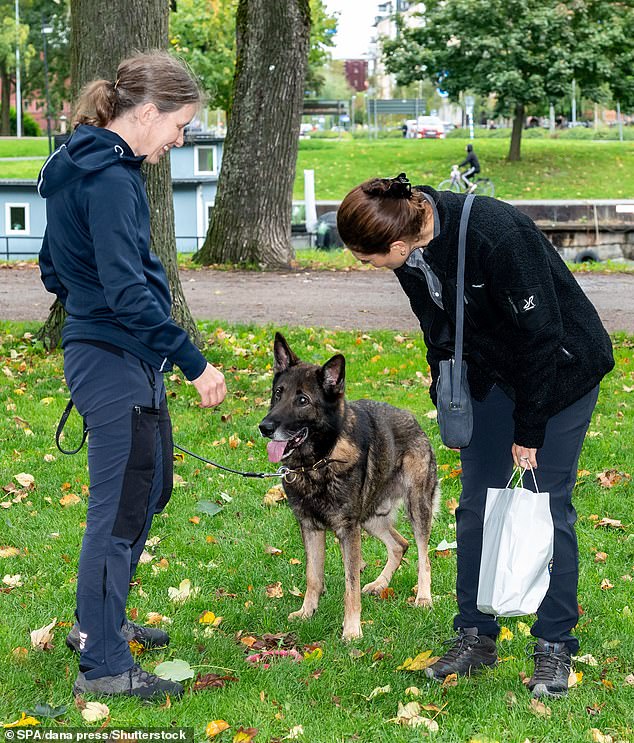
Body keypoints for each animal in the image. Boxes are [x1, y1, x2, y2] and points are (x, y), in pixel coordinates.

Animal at [256, 334, 434, 644]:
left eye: (302, 400)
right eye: (278, 393)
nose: (264, 427)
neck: (317, 462)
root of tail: (415, 422)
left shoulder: (347, 531)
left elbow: (351, 583)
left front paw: (352, 629)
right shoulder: (311, 527)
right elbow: (313, 576)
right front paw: (307, 612)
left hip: (415, 508)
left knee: (423, 555)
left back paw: (423, 597)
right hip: (370, 517)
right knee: (400, 544)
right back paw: (379, 584)